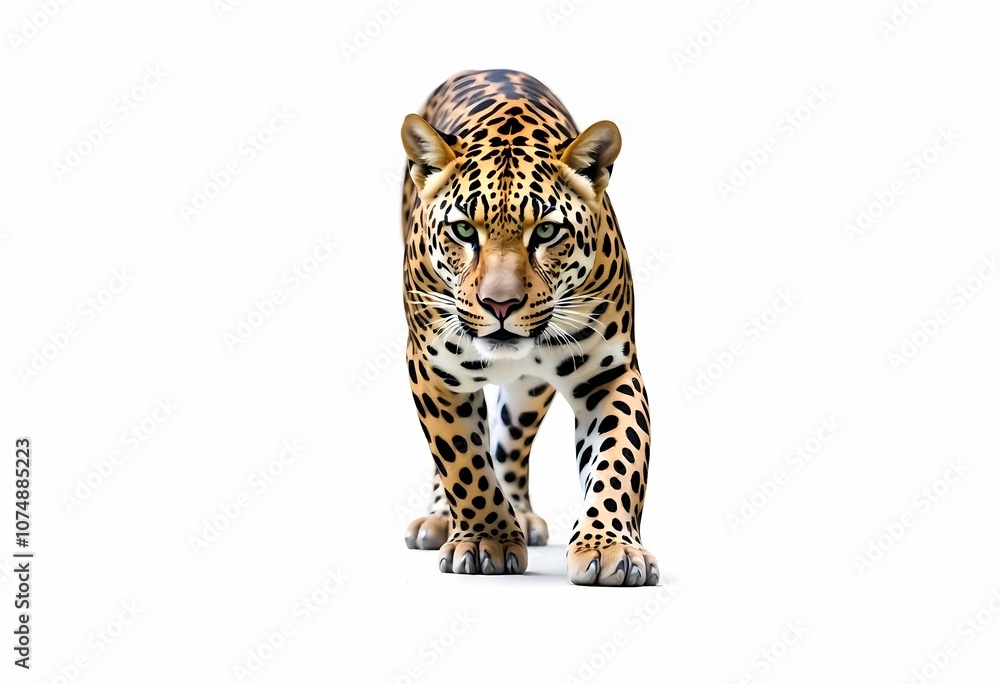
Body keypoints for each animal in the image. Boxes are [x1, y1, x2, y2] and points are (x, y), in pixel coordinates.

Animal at [399, 69, 658, 586]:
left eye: (545, 232)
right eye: (464, 230)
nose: (500, 303)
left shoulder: (609, 372)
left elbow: (619, 458)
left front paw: (610, 548)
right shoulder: (432, 370)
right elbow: (462, 461)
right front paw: (485, 540)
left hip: (529, 389)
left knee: (510, 441)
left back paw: (519, 512)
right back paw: (441, 520)